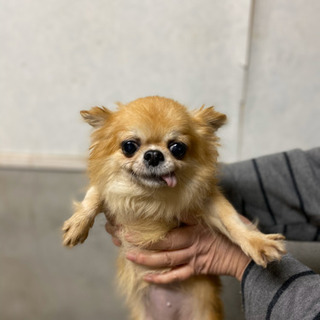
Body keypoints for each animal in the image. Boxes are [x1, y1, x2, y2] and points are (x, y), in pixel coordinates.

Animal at [62, 97, 284, 320]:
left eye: (178, 148)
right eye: (129, 146)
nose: (153, 154)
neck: (149, 197)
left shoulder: (208, 200)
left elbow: (232, 221)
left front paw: (258, 242)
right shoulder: (107, 187)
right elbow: (93, 196)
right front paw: (78, 224)